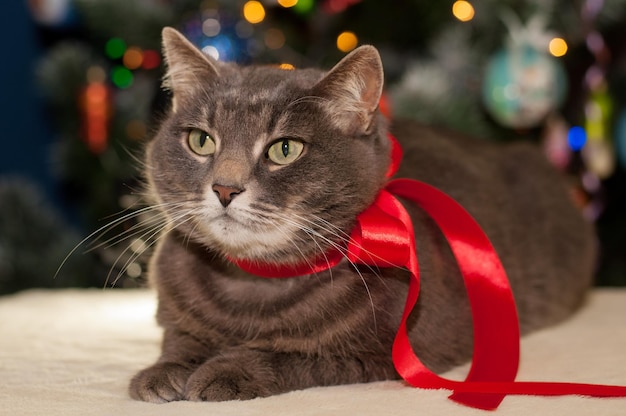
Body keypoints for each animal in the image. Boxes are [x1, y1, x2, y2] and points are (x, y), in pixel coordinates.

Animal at [128, 26, 596, 404]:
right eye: (201, 141)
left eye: (285, 149)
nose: (225, 188)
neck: (251, 285)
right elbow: (179, 337)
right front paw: (164, 370)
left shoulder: (378, 356)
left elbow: (294, 355)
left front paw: (227, 369)